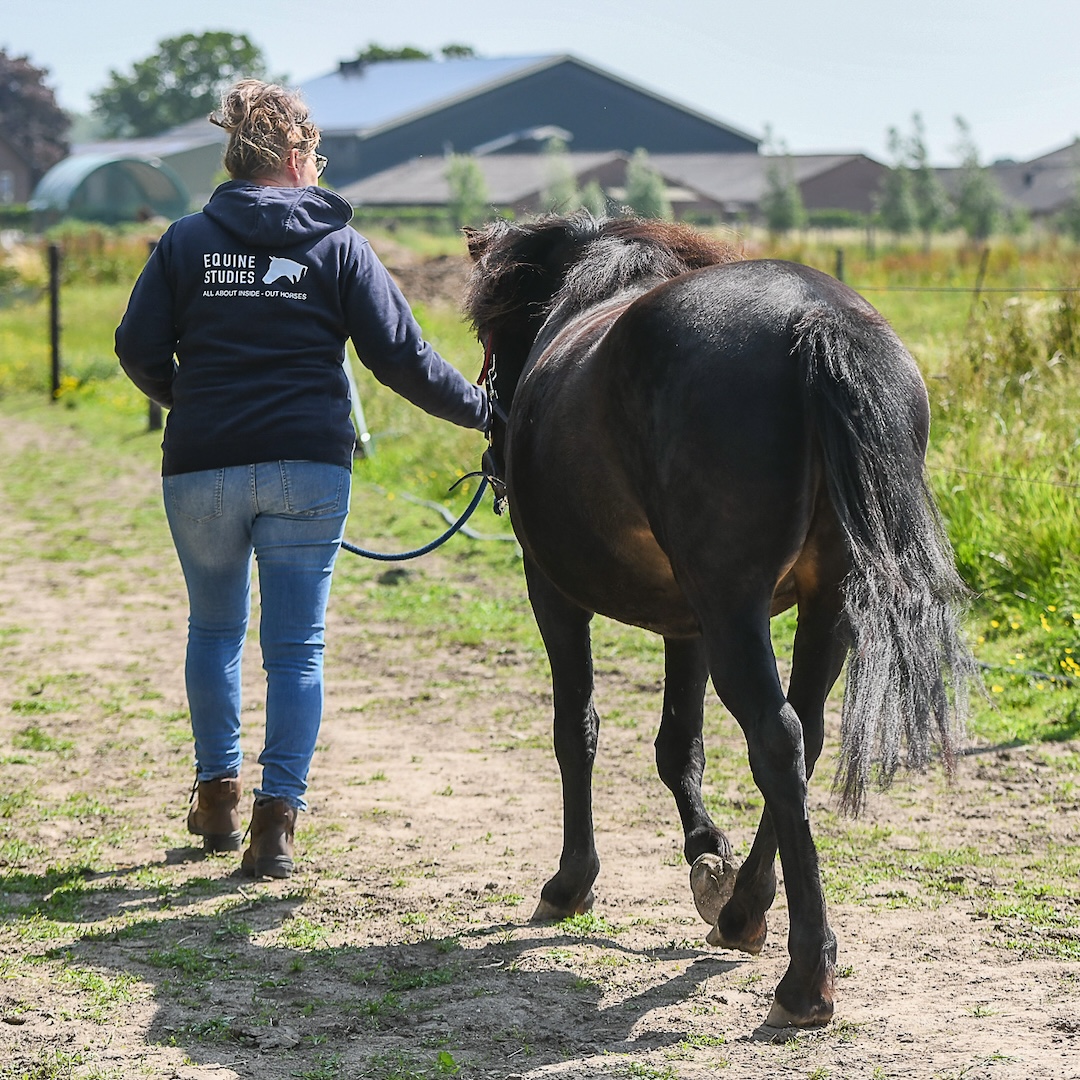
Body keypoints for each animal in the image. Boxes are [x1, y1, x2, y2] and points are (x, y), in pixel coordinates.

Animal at [463, 213, 974, 1028]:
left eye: (490, 334)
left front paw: (571, 882)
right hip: (823, 602)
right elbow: (680, 744)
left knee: (776, 737)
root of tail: (815, 321)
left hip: (734, 604)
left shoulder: (554, 592)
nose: (494, 450)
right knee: (805, 734)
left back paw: (805, 976)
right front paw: (708, 855)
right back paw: (744, 912)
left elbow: (577, 729)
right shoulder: (689, 622)